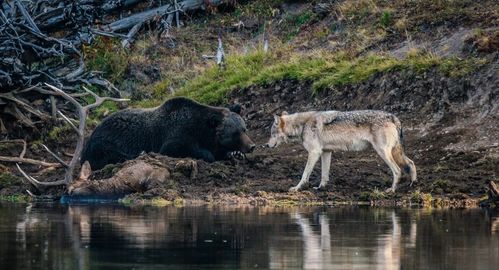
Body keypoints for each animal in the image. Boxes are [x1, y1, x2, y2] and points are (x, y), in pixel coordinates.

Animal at [81, 96, 256, 169]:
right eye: (235, 133)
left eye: (244, 129)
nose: (252, 146)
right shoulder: (175, 134)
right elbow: (179, 148)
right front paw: (209, 155)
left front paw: (234, 153)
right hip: (105, 142)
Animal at [268, 109, 416, 192]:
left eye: (271, 133)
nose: (267, 145)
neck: (303, 125)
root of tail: (393, 117)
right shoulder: (326, 152)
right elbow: (324, 175)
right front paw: (321, 189)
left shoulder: (314, 152)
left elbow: (305, 174)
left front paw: (297, 188)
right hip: (394, 152)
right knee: (411, 163)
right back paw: (413, 184)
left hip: (383, 152)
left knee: (397, 170)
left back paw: (392, 190)